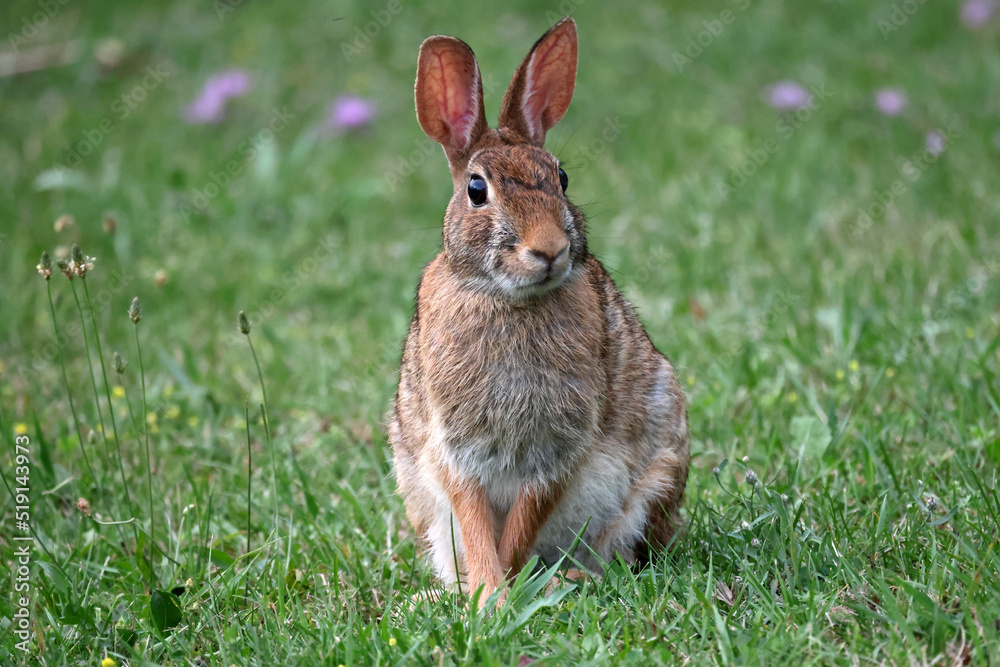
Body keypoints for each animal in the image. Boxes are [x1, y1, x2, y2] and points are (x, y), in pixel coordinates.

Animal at [389, 16, 690, 605]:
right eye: (476, 189)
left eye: (562, 177)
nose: (550, 248)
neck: (510, 300)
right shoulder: (454, 446)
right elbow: (474, 519)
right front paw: (487, 598)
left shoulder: (558, 446)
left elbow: (523, 522)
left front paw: (498, 596)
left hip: (657, 474)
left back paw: (569, 579)